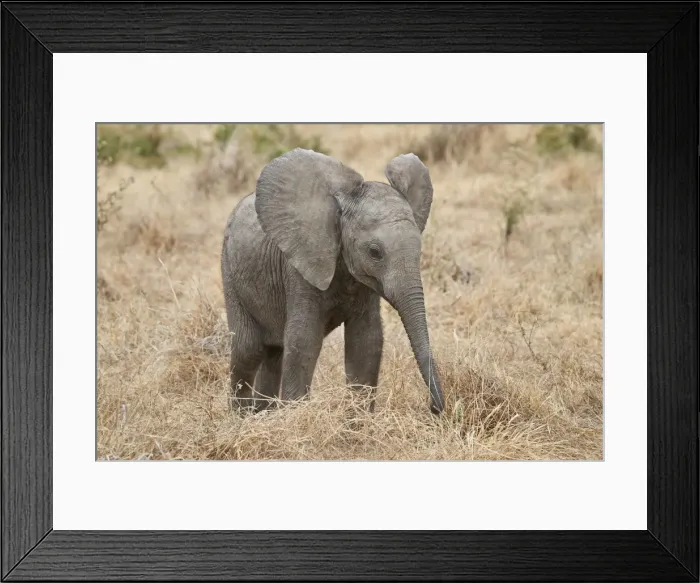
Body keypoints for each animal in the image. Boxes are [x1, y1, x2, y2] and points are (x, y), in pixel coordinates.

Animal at [220, 147, 445, 415]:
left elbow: (367, 341)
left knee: (274, 352)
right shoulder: (301, 268)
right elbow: (303, 341)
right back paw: (241, 419)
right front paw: (297, 417)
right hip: (229, 271)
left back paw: (264, 415)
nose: (434, 408)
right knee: (248, 349)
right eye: (374, 252)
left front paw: (358, 421)